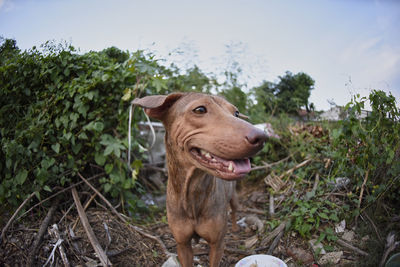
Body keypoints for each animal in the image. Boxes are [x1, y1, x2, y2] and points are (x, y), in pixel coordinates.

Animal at [133, 93, 268, 266]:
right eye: (200, 110)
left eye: (236, 113)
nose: (262, 137)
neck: (193, 190)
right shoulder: (182, 244)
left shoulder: (217, 244)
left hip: (234, 198)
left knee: (234, 211)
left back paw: (235, 227)